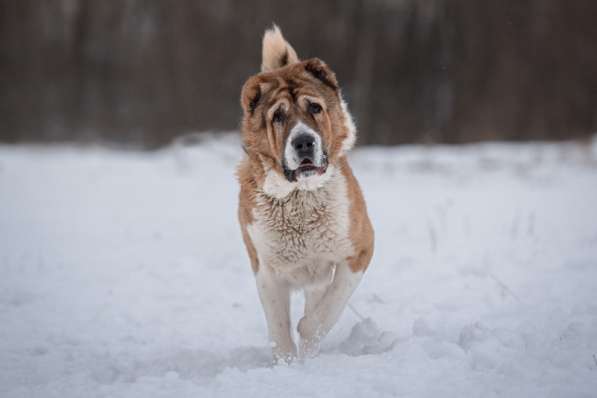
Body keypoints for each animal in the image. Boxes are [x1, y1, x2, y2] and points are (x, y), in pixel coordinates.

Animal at [236, 24, 372, 364]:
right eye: (278, 116)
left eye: (315, 108)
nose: (303, 142)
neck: (300, 198)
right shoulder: (266, 269)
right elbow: (279, 328)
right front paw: (286, 365)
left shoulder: (359, 252)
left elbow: (325, 312)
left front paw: (307, 339)